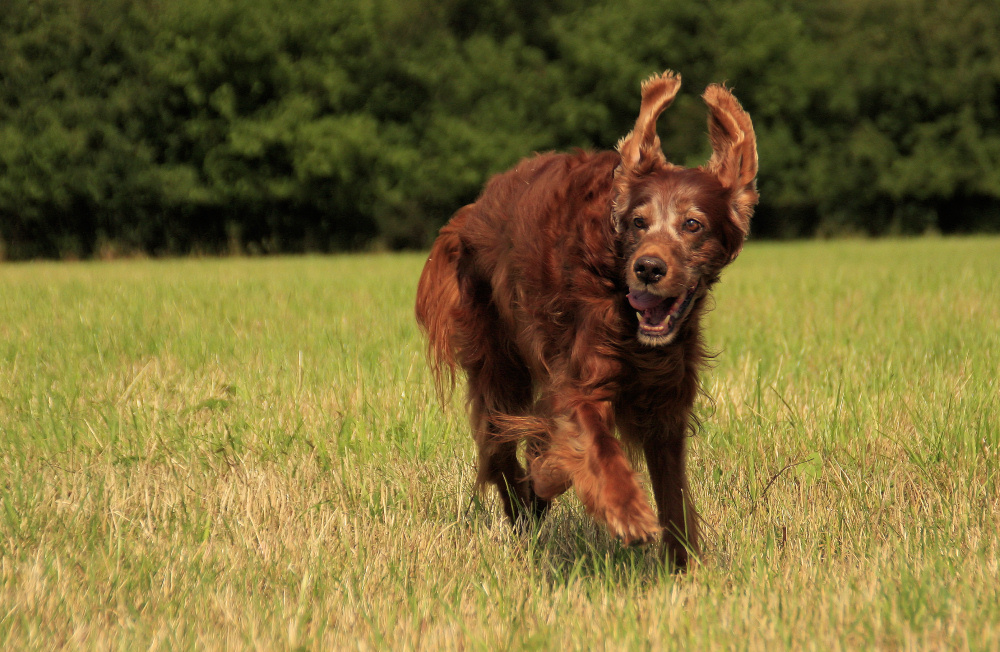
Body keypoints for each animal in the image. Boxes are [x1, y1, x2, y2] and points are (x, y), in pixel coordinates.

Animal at [416, 71, 756, 568]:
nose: (648, 268)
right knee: (499, 451)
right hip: (497, 362)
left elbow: (673, 495)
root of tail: (474, 209)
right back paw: (528, 501)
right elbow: (596, 448)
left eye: (693, 224)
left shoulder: (666, 408)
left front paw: (681, 567)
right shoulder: (580, 381)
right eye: (638, 222)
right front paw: (626, 511)